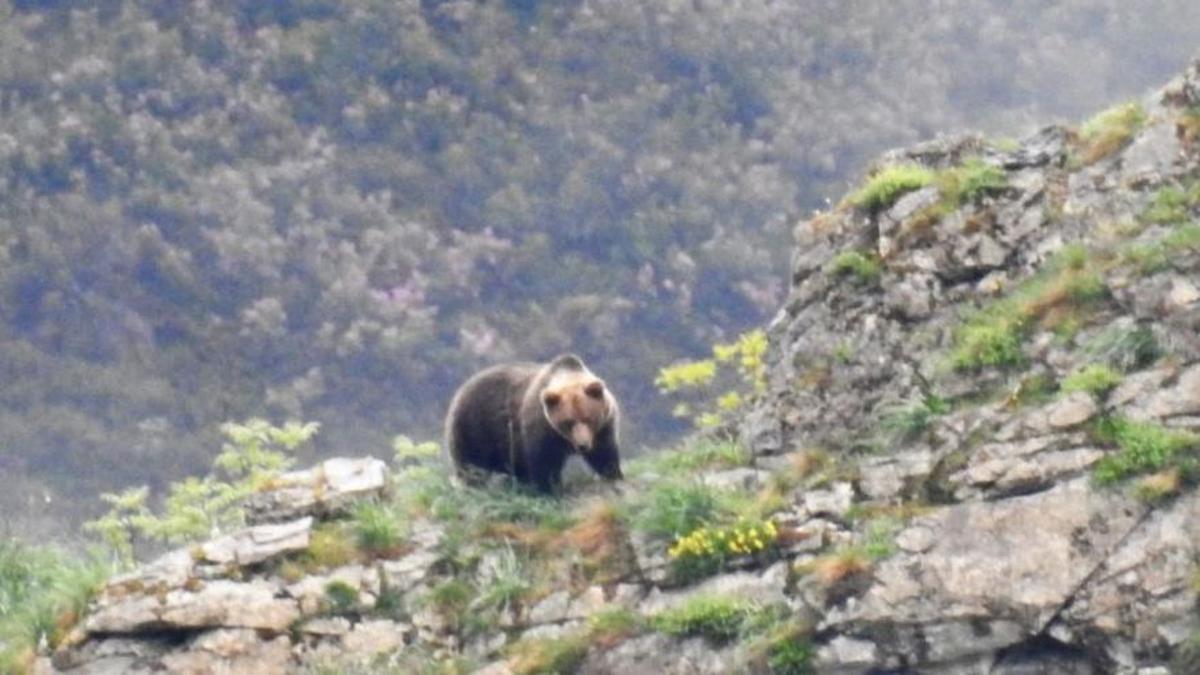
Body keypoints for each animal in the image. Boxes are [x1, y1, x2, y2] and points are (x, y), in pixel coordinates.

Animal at [446, 353, 624, 494]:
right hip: (474, 428)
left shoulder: (604, 426)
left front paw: (613, 475)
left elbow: (604, 453)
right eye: (568, 422)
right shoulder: (541, 427)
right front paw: (551, 489)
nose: (582, 445)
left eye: (588, 418)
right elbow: (543, 463)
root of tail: (461, 389)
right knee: (471, 467)